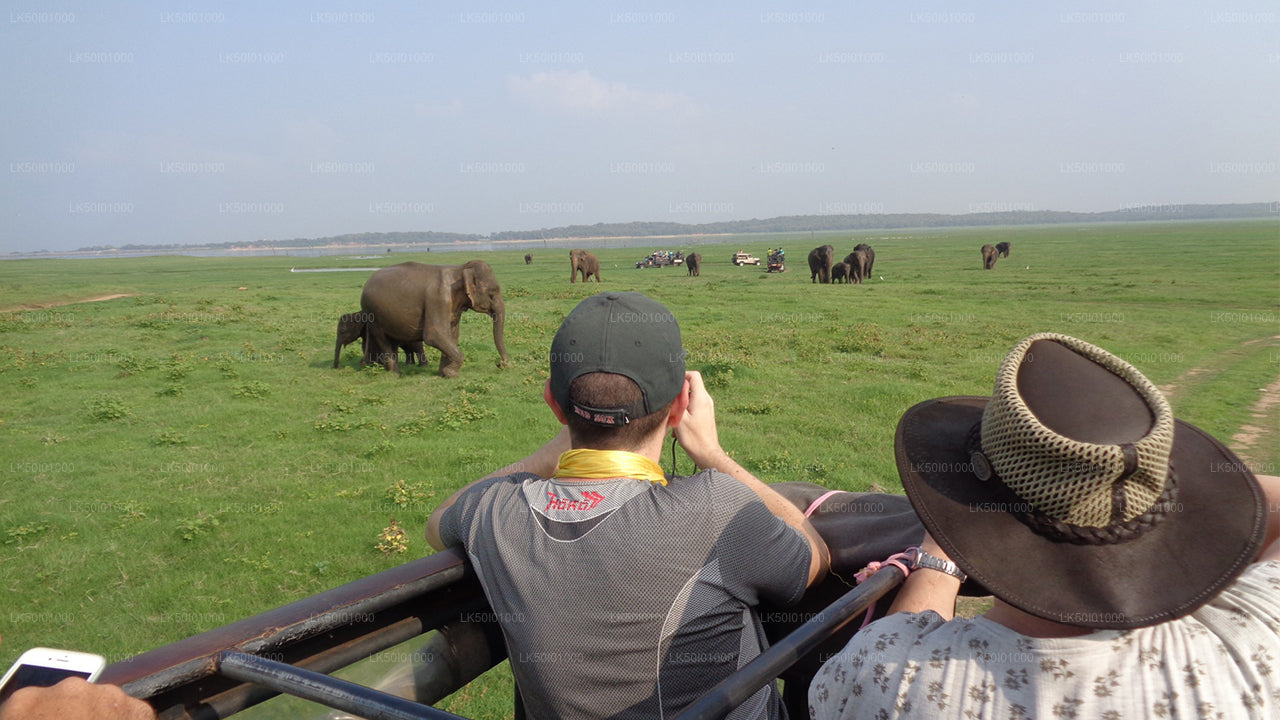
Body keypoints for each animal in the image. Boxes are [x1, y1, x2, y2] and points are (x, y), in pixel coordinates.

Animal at [360, 260, 509, 379]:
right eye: (492, 294)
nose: (499, 364)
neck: (460, 269)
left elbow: (452, 335)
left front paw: (443, 374)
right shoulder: (438, 298)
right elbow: (434, 335)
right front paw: (452, 374)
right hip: (373, 315)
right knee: (383, 340)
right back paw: (396, 374)